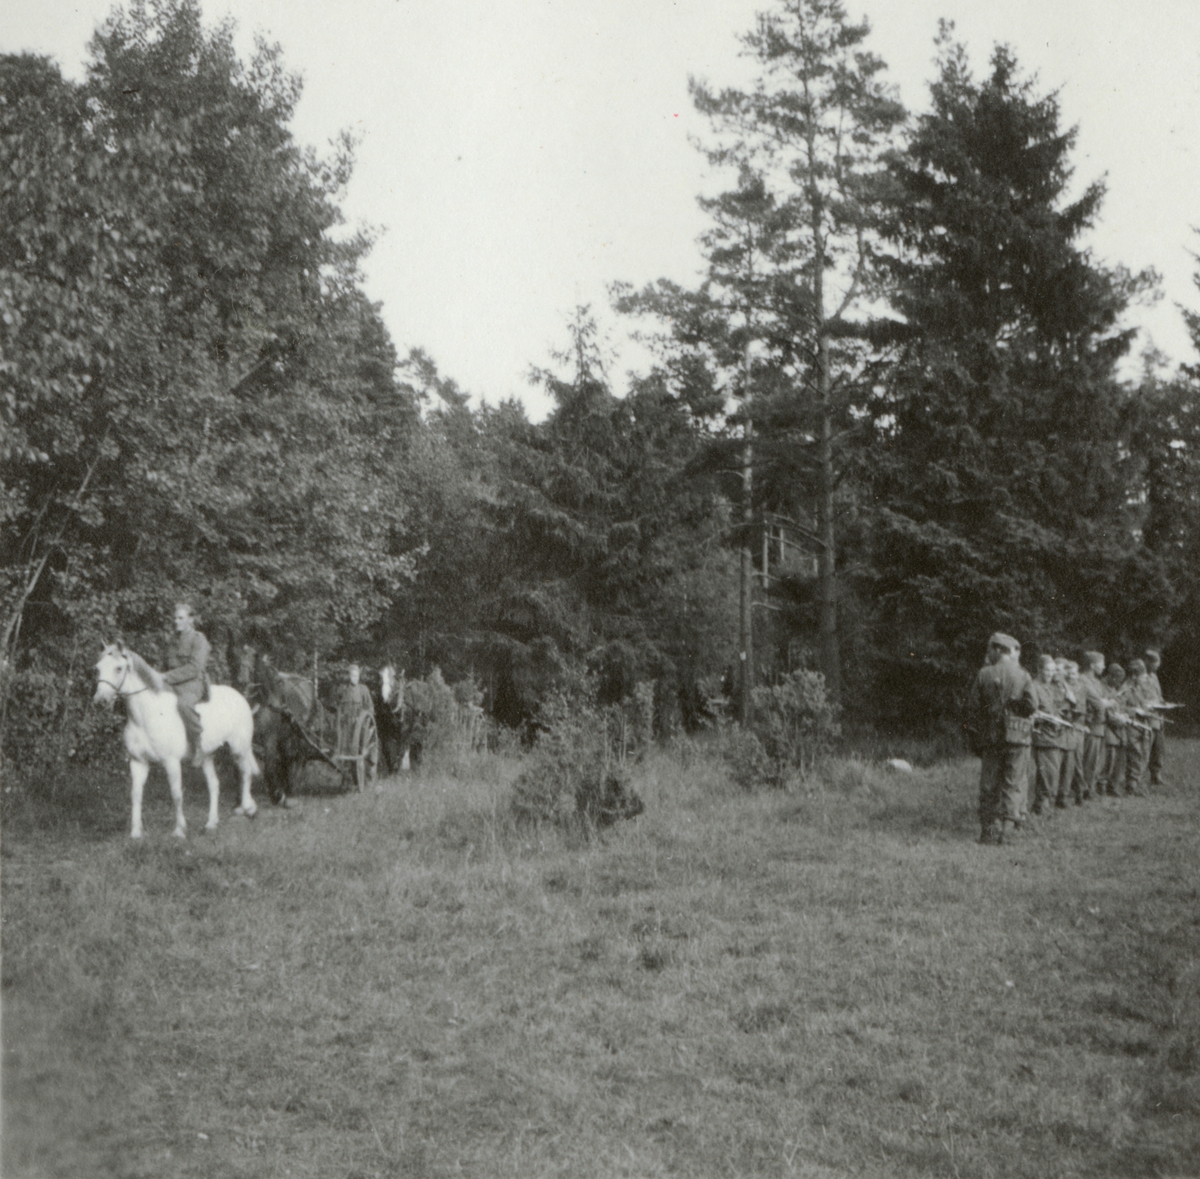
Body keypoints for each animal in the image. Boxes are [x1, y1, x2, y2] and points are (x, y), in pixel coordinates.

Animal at [94, 648, 260, 840]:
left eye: (119, 668)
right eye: (98, 668)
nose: (100, 701)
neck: (145, 716)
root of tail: (239, 696)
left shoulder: (171, 762)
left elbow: (176, 794)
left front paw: (179, 830)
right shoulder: (138, 762)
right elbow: (135, 795)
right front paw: (135, 833)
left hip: (239, 748)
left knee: (246, 772)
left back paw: (248, 807)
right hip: (207, 756)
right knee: (214, 785)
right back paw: (211, 823)